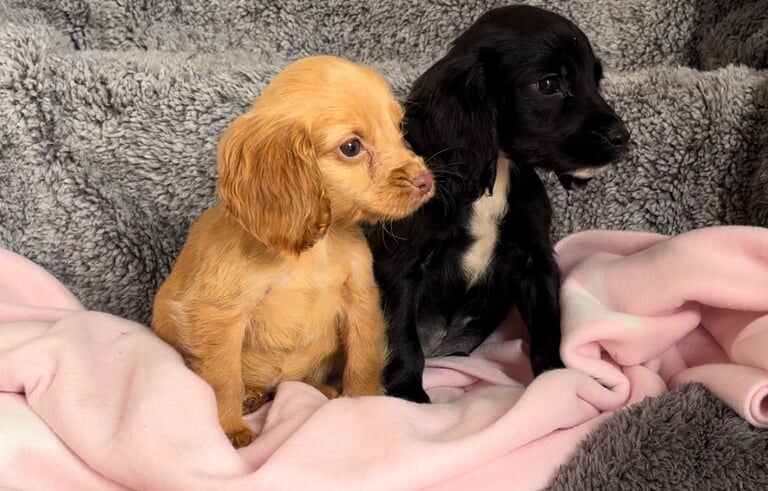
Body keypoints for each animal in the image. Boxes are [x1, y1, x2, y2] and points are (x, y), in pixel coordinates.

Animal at [153, 55, 436, 448]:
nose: (426, 181)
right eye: (351, 147)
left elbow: (363, 361)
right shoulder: (220, 316)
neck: (313, 251)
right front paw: (231, 428)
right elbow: (224, 379)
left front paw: (365, 404)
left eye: (399, 129)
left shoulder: (361, 302)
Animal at [368, 4, 632, 404]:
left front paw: (560, 377)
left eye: (595, 80)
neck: (494, 176)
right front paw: (408, 397)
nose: (622, 137)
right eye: (548, 84)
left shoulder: (535, 262)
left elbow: (547, 325)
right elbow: (402, 338)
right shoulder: (401, 267)